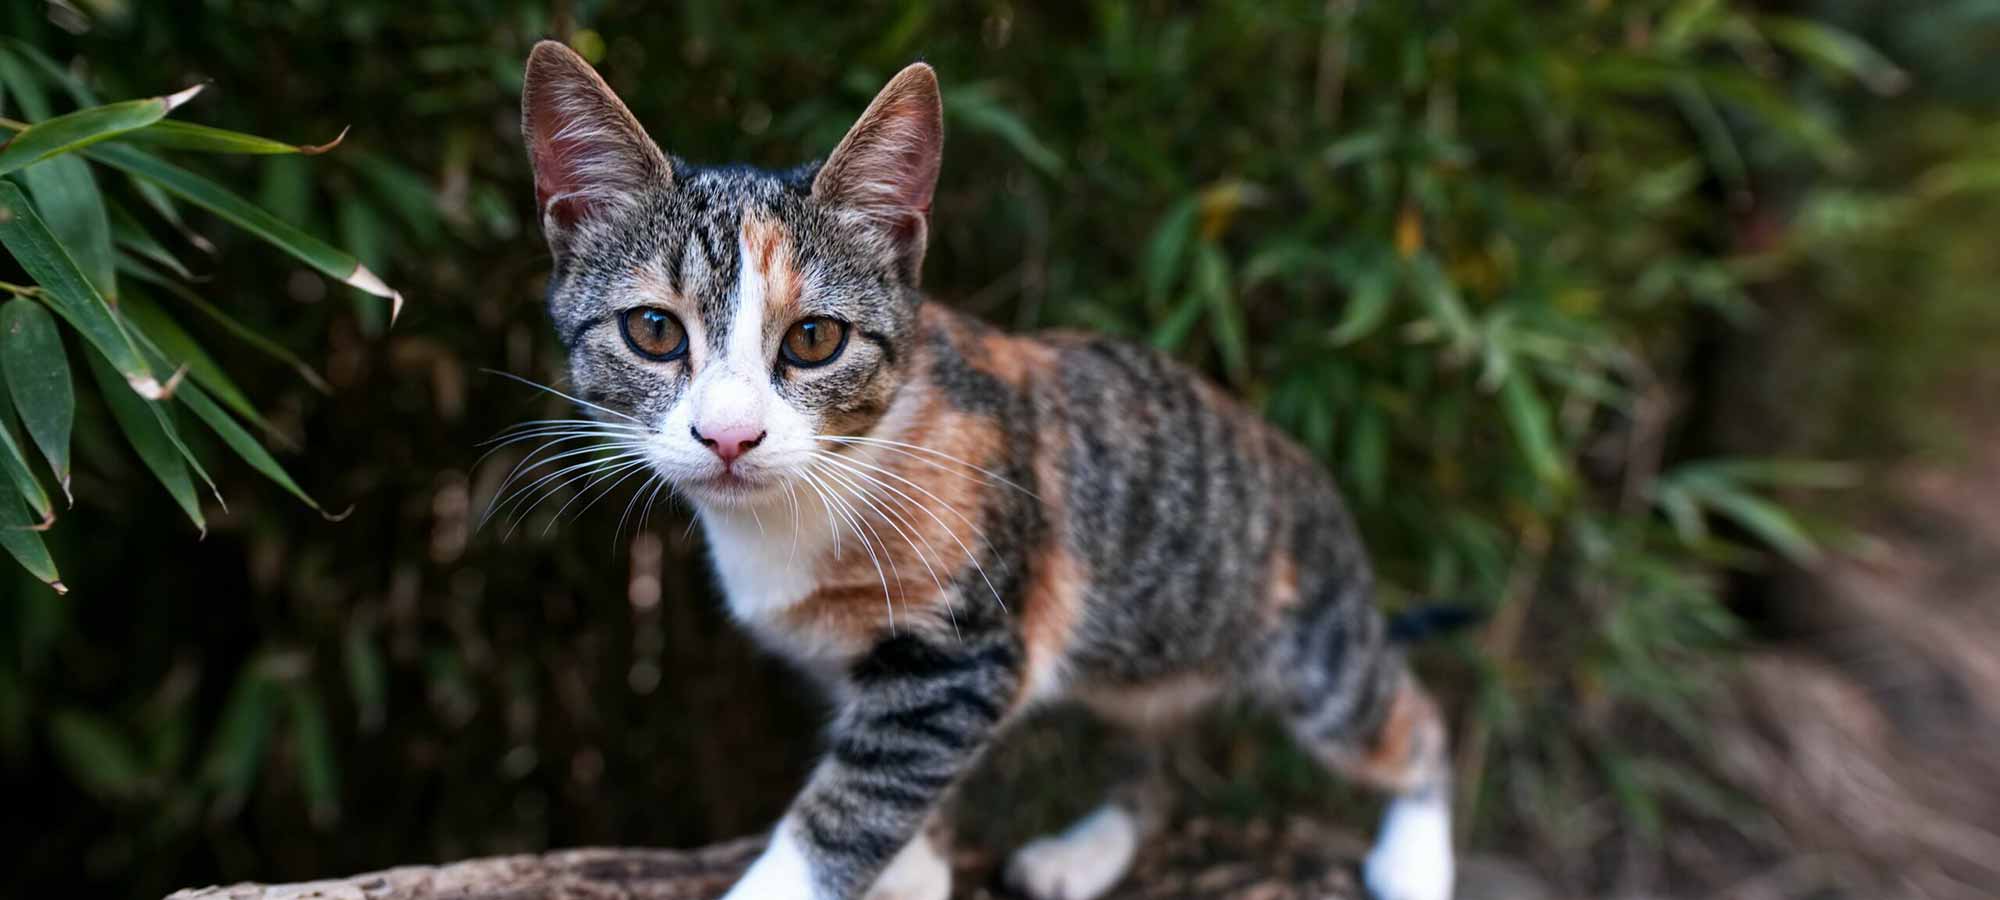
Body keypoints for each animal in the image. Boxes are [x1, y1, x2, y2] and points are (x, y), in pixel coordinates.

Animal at [516, 40, 1456, 900]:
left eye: (815, 339)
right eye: (653, 331)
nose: (730, 436)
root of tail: (1300, 459)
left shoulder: (967, 651)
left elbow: (857, 799)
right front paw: (918, 868)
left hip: (1309, 639)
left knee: (1406, 721)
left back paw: (1414, 860)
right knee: (1153, 758)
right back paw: (1089, 850)